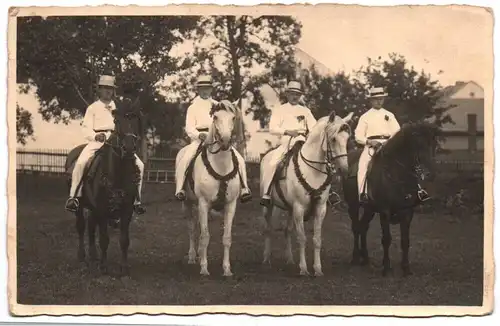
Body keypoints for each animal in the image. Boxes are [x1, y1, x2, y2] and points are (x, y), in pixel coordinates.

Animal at [176, 100, 244, 278]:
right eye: (215, 117)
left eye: (233, 117)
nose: (226, 141)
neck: (220, 166)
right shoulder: (203, 203)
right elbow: (205, 236)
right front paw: (204, 268)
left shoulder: (230, 205)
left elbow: (226, 237)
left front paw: (227, 269)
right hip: (188, 204)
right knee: (192, 229)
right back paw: (193, 257)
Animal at [260, 111, 354, 276]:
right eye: (333, 139)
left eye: (347, 139)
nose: (344, 170)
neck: (312, 170)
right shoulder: (299, 208)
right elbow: (302, 238)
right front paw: (304, 269)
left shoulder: (320, 208)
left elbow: (317, 239)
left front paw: (317, 269)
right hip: (268, 207)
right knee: (268, 229)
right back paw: (266, 258)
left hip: (289, 209)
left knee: (287, 231)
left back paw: (290, 259)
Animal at [342, 121, 440, 276]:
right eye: (418, 144)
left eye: (433, 144)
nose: (431, 174)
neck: (397, 174)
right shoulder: (385, 211)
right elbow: (386, 239)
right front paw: (387, 267)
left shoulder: (407, 212)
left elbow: (405, 241)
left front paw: (406, 268)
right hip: (353, 206)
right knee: (356, 228)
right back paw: (356, 258)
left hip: (369, 209)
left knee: (363, 227)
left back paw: (366, 259)